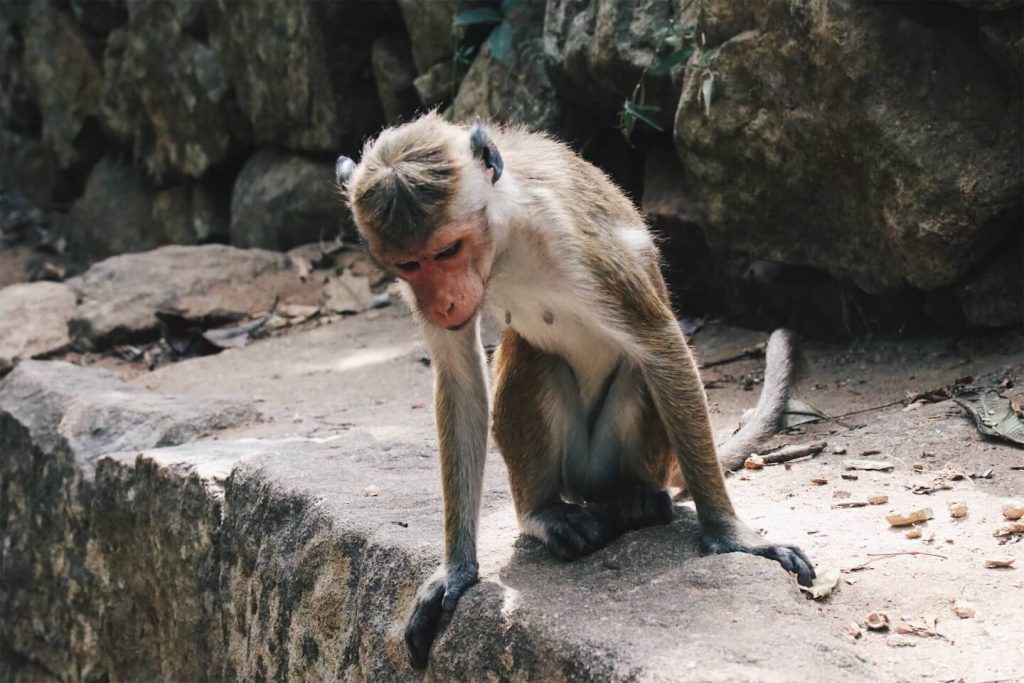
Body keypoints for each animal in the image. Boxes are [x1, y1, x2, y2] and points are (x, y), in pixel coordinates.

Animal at [335, 113, 815, 669]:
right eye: (409, 264)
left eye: (447, 251)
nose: (442, 302)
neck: (504, 237)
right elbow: (458, 374)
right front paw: (456, 570)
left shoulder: (580, 243)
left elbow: (662, 345)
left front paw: (731, 536)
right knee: (536, 359)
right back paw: (543, 513)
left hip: (622, 458)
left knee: (636, 368)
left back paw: (633, 498)